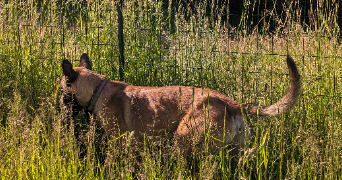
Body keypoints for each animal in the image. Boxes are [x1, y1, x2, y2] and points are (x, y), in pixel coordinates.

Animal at [60, 53, 300, 153]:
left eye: (60, 90)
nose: (61, 111)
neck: (98, 88)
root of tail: (227, 101)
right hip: (234, 151)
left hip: (183, 139)